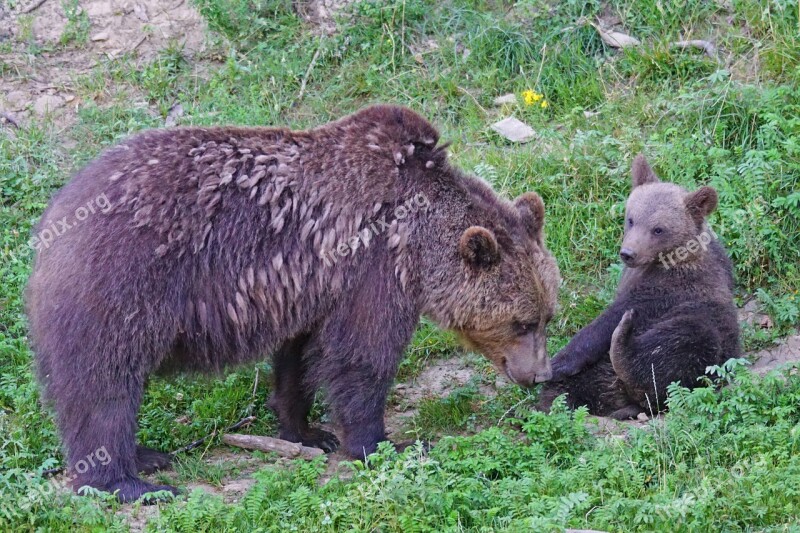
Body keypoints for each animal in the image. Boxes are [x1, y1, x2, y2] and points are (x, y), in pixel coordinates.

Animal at [28, 105, 560, 502]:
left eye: (547, 315)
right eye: (521, 322)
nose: (539, 374)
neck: (416, 237)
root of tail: (52, 219)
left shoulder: (313, 285)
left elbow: (300, 356)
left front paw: (305, 430)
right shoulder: (372, 269)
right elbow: (361, 356)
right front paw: (385, 441)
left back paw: (147, 456)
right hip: (124, 286)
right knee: (105, 386)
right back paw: (128, 482)